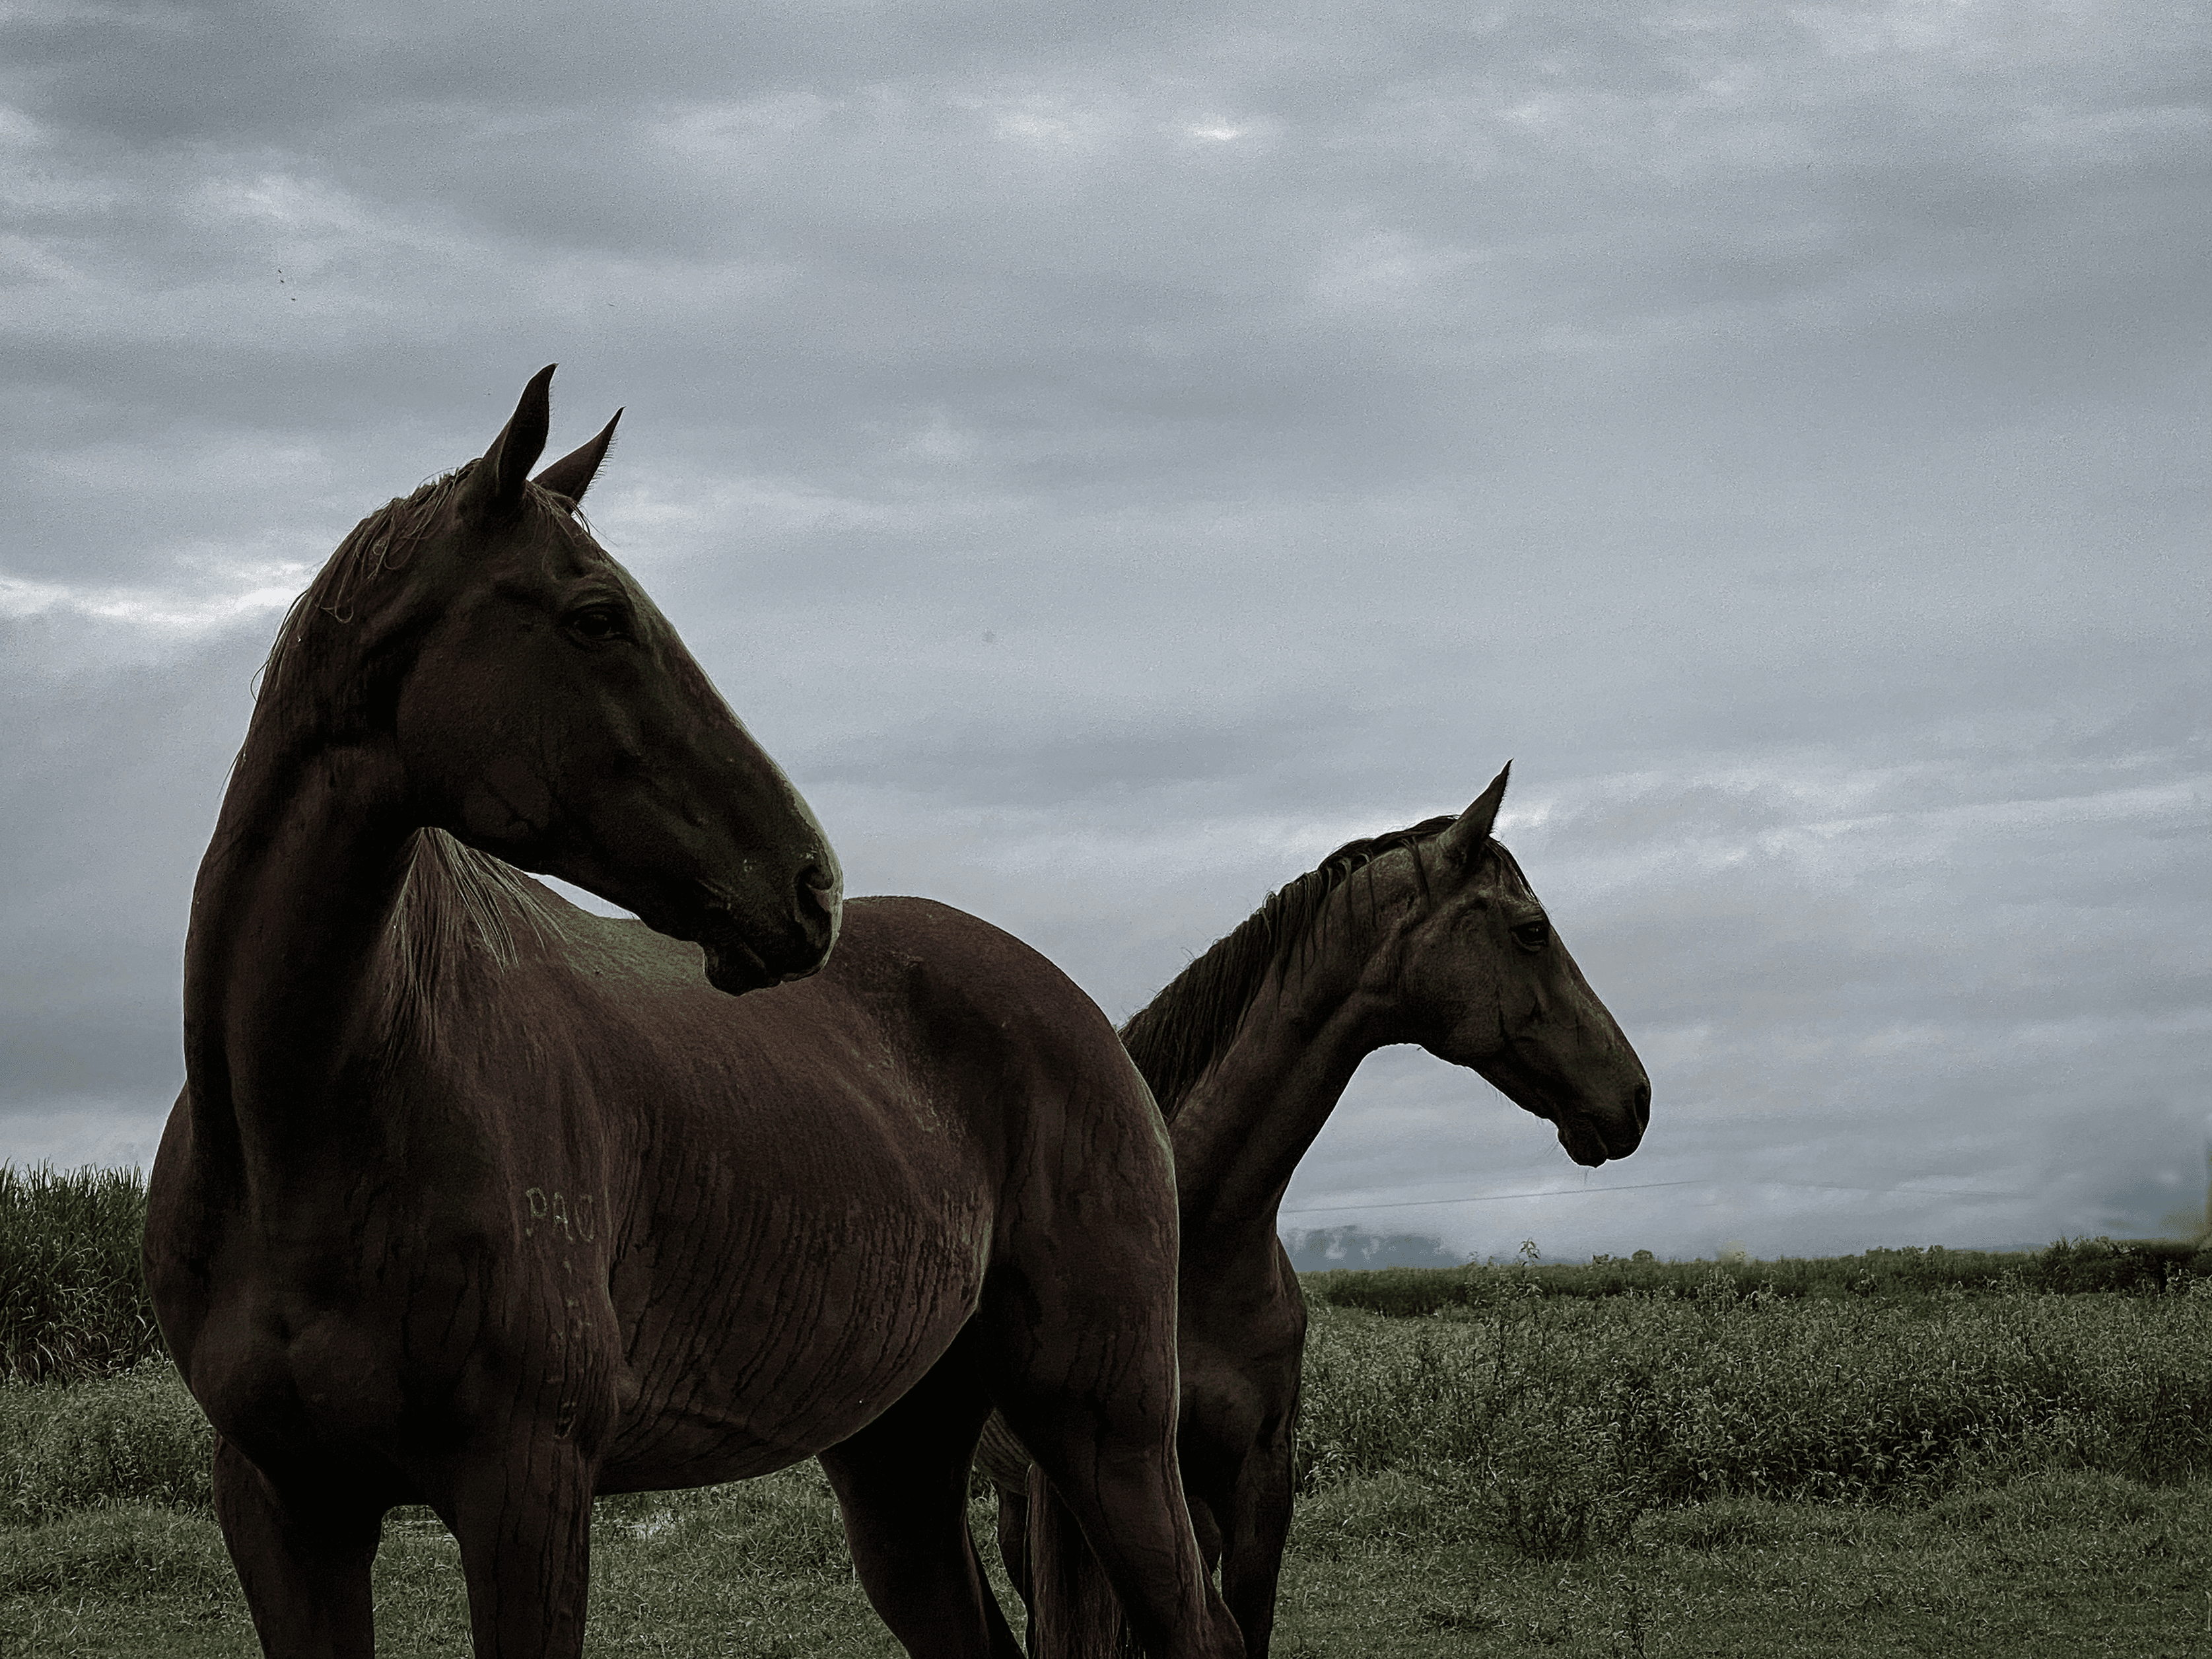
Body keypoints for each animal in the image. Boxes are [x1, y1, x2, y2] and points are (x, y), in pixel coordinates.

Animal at [144, 367, 1245, 1659]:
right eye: (597, 617)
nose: (810, 884)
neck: (304, 1125)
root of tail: (1079, 1017)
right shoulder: (284, 1505)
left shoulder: (525, 1491)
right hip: (898, 1455)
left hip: (1104, 1423)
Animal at [963, 767, 1650, 1656]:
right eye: (1531, 931)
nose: (1634, 1098)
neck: (1199, 1245)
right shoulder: (1113, 1485)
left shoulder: (1259, 1476)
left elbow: (1241, 1623)